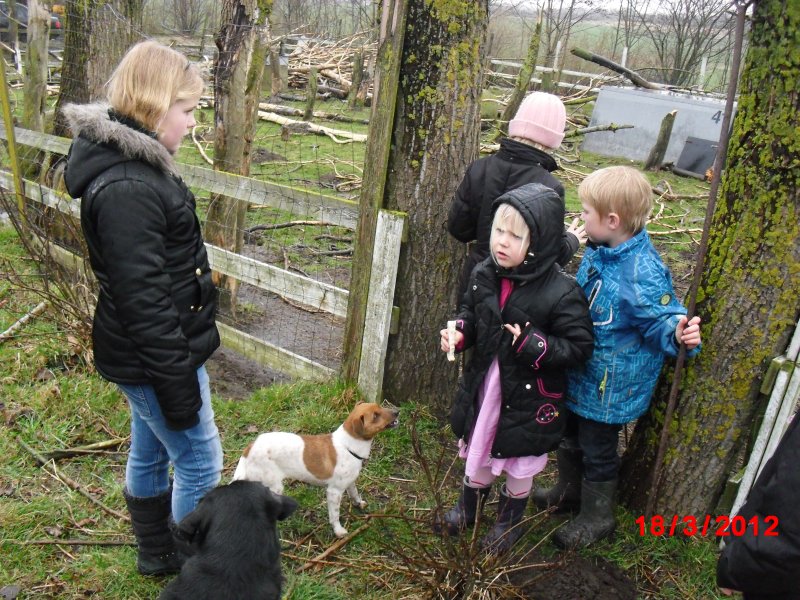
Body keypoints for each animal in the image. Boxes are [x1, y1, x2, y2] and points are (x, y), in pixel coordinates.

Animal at [232, 402, 400, 537]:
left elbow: (355, 494)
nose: (397, 411)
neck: (348, 446)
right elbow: (334, 515)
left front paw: (359, 503)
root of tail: (250, 447)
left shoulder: (350, 482)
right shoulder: (334, 492)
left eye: (380, 406)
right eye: (375, 416)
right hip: (274, 486)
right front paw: (338, 531)